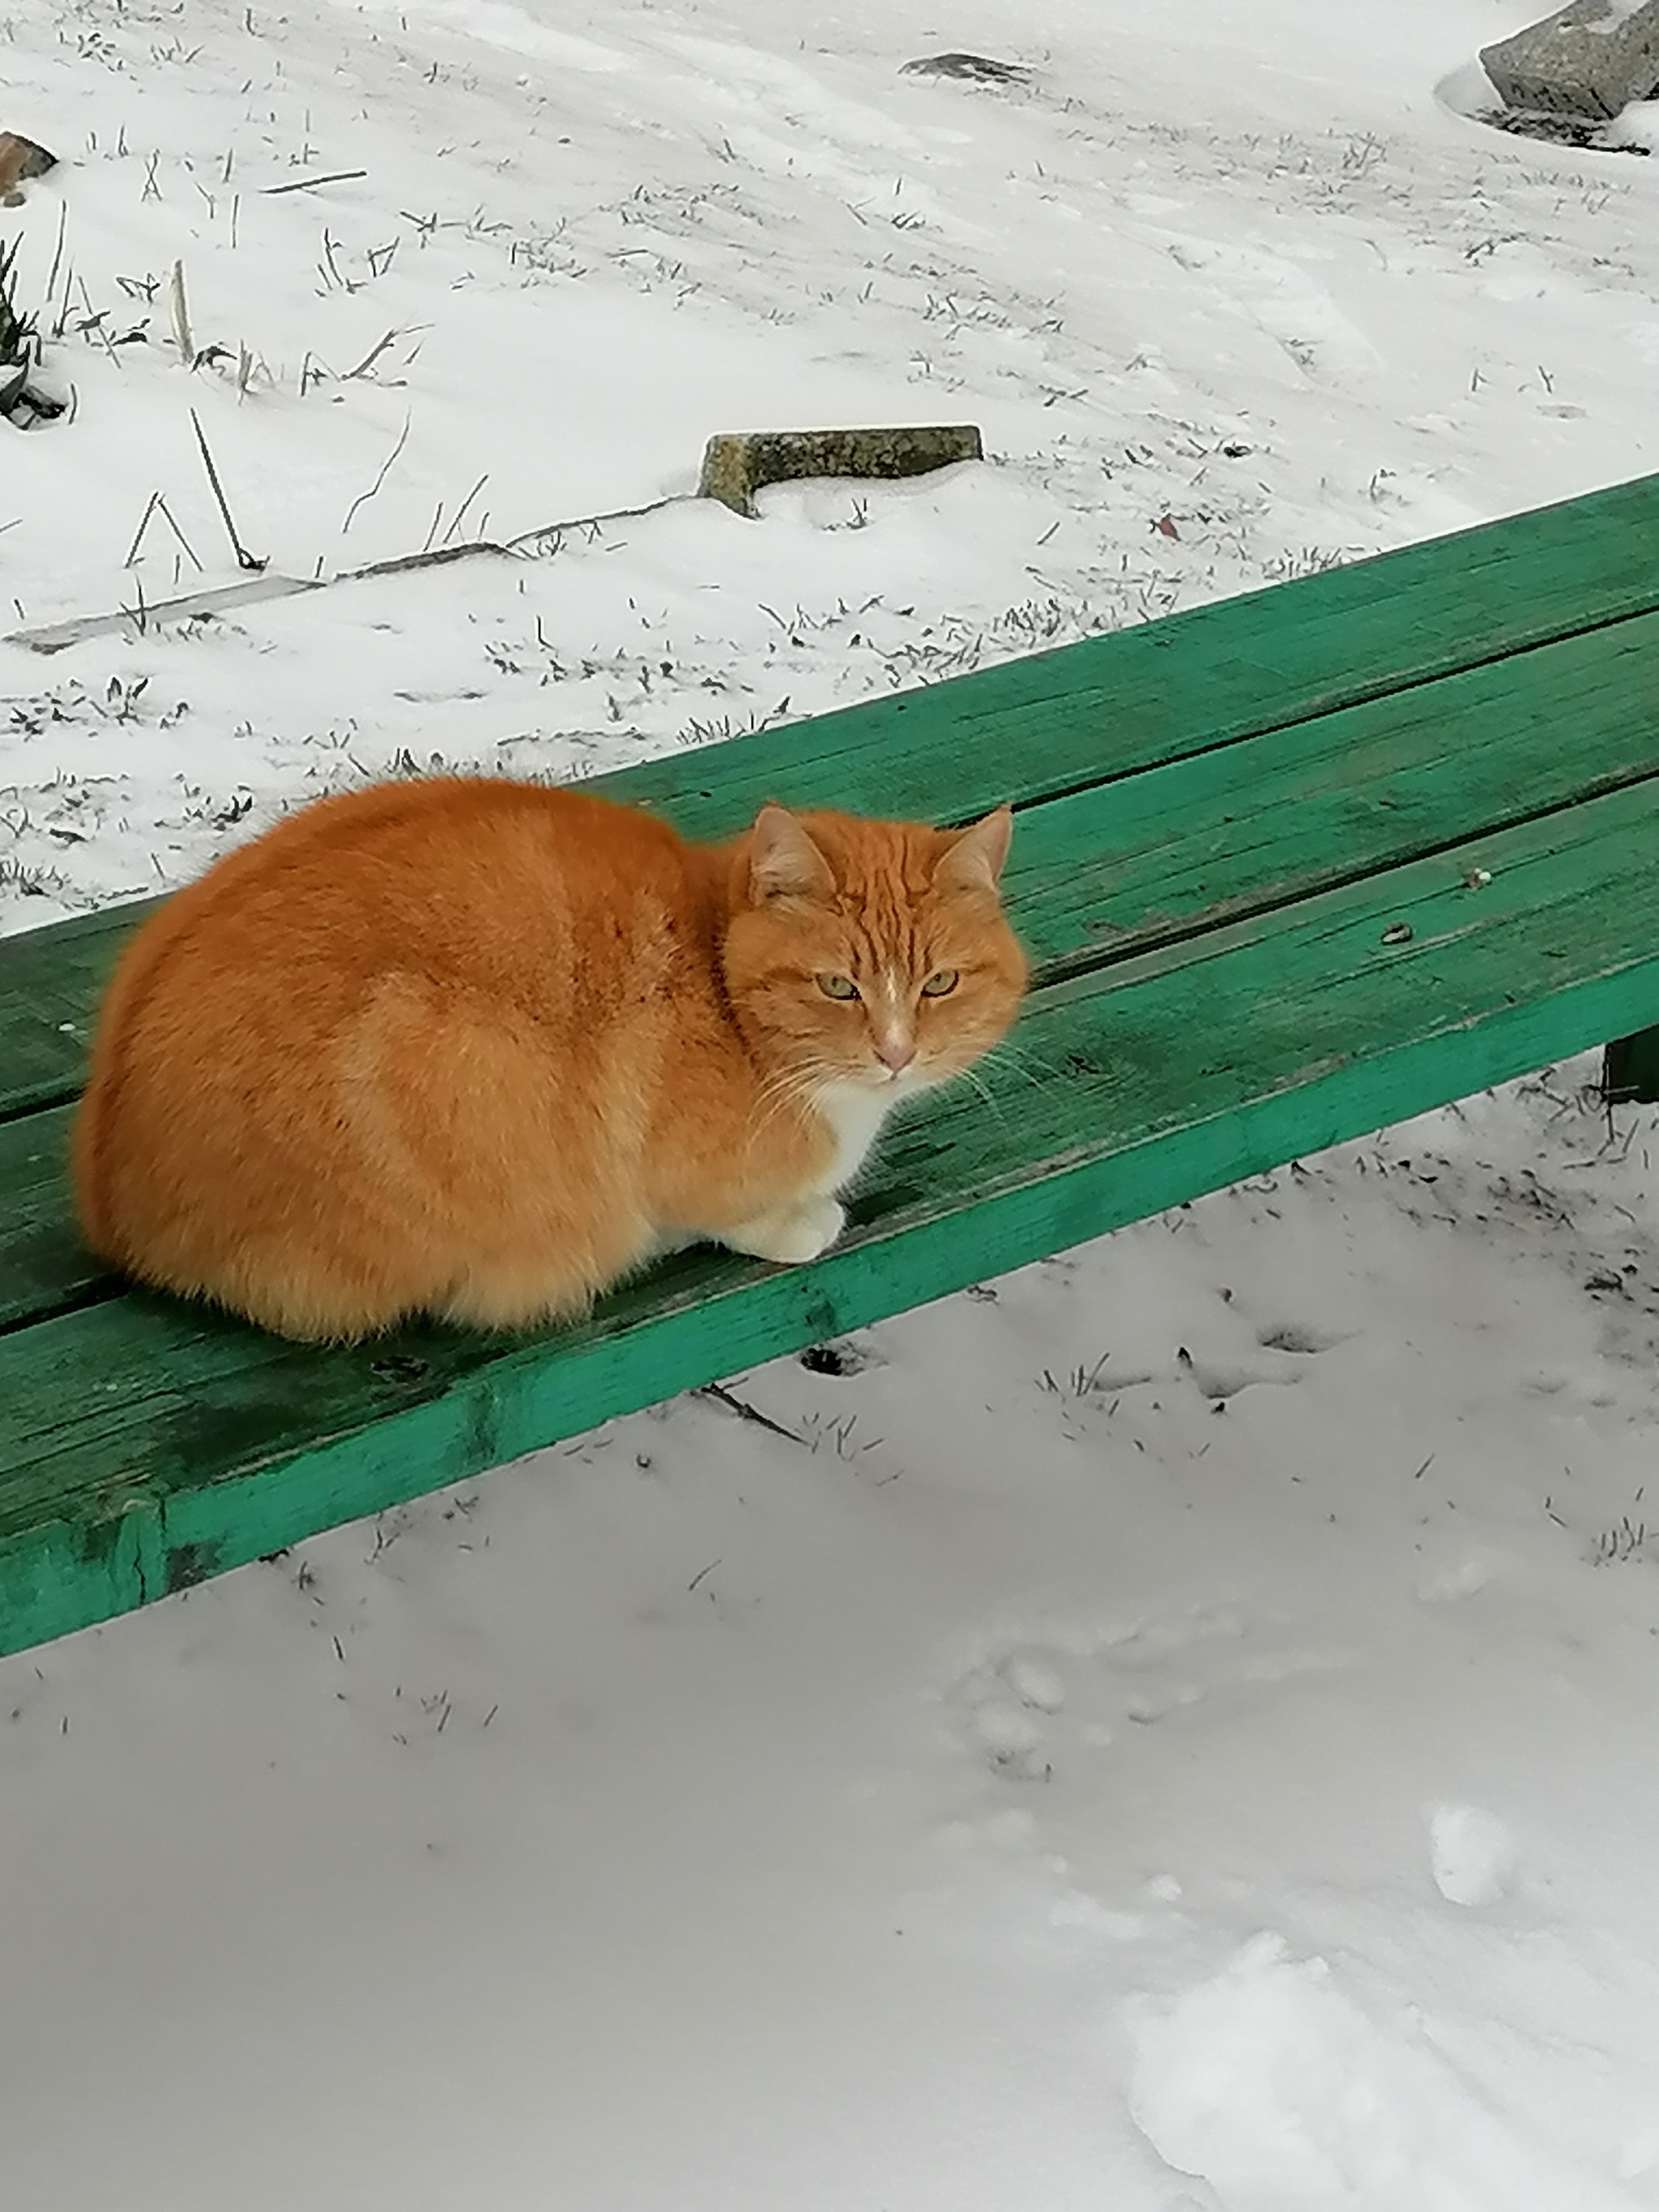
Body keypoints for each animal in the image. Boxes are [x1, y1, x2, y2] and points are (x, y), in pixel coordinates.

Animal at [78, 769, 1034, 1336]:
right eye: (838, 987)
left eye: (939, 984)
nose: (895, 1052)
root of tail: (111, 1210)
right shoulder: (668, 1179)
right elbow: (723, 1214)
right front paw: (800, 1219)